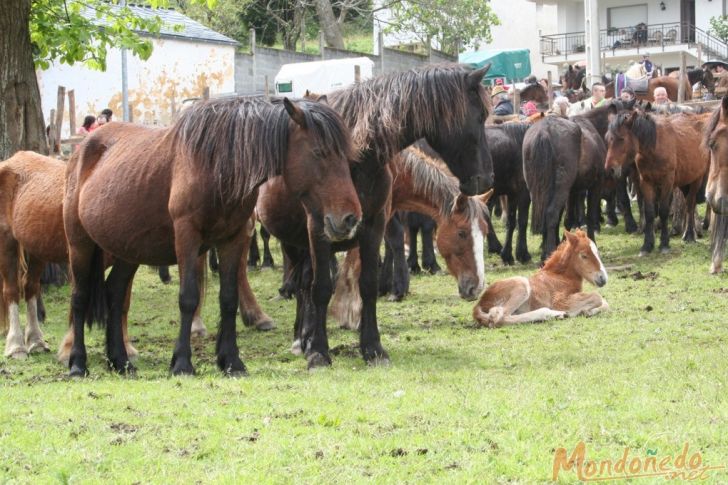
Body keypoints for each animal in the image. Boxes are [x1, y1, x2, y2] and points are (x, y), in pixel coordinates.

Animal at [63, 96, 362, 376]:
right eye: (319, 152)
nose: (350, 218)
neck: (215, 165)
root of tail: (80, 152)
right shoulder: (187, 235)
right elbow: (188, 297)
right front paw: (182, 363)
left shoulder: (234, 237)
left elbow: (229, 299)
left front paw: (231, 361)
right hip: (79, 244)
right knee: (79, 298)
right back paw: (77, 364)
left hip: (128, 250)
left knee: (114, 294)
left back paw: (121, 362)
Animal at [472, 229, 608, 328]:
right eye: (583, 255)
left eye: (597, 253)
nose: (603, 278)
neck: (560, 276)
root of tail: (479, 303)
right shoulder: (559, 301)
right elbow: (597, 297)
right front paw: (579, 311)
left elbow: (605, 303)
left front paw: (588, 311)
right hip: (522, 284)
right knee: (500, 318)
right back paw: (553, 314)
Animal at [604, 108, 712, 253]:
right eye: (607, 139)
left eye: (621, 138)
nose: (610, 170)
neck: (653, 149)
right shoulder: (646, 182)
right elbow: (649, 212)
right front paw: (647, 245)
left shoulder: (667, 182)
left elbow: (663, 211)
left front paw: (664, 244)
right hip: (684, 182)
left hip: (696, 179)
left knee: (690, 204)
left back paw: (689, 235)